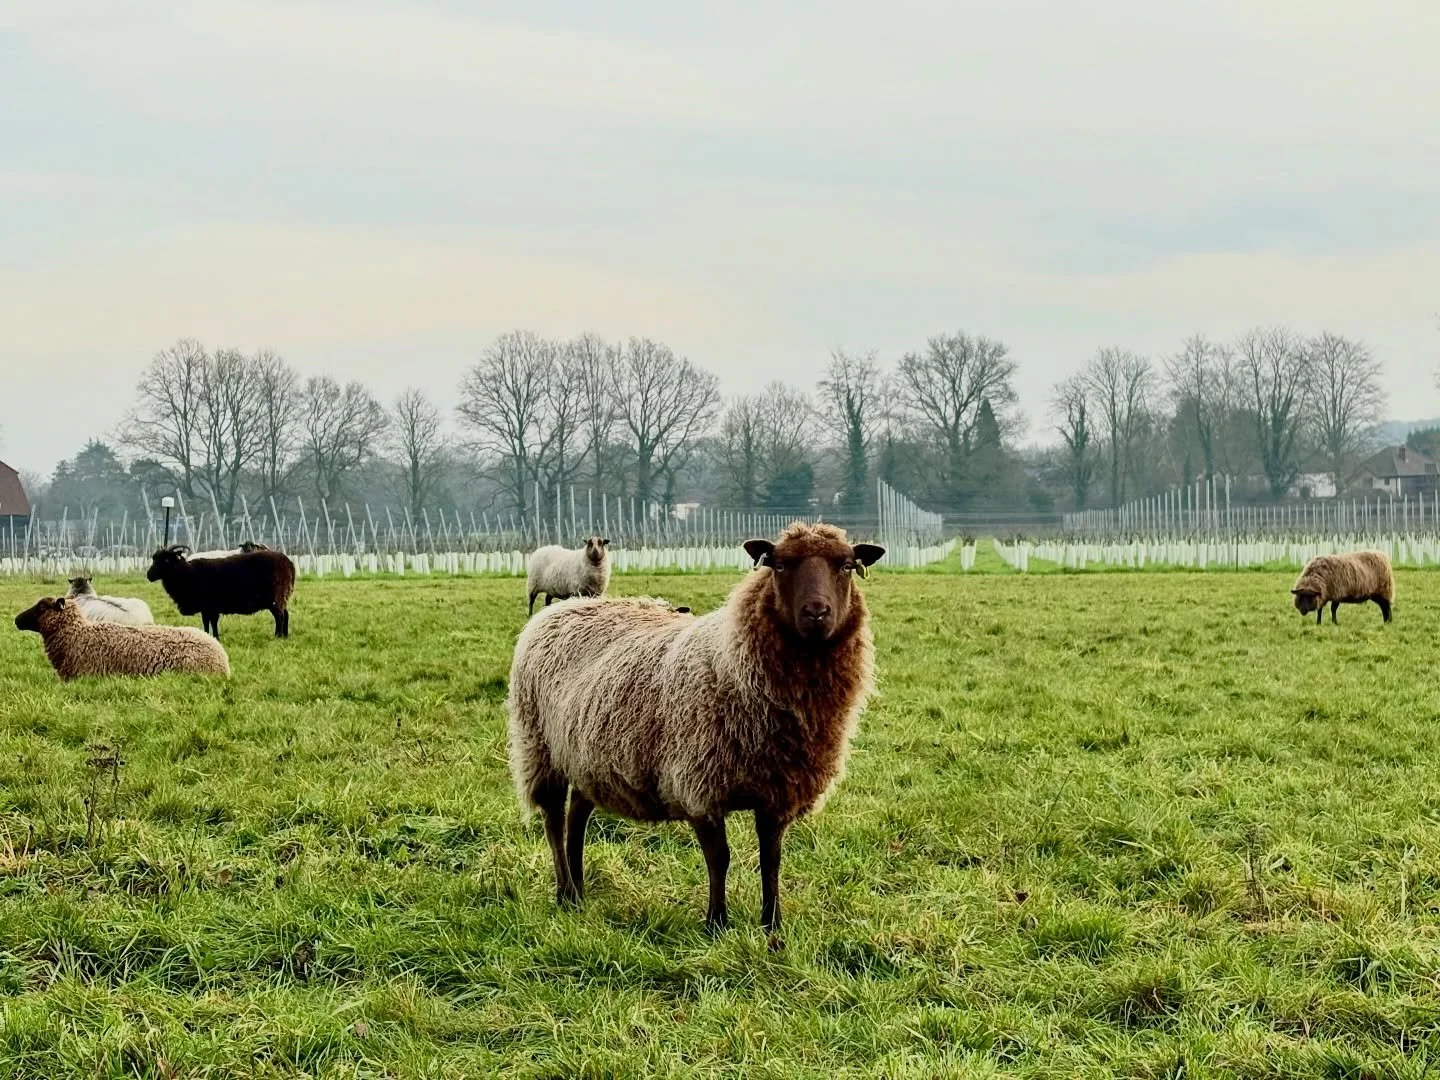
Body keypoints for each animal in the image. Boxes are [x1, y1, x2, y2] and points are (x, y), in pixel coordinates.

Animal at [146, 544, 296, 640]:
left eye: (166, 560)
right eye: (154, 558)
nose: (148, 575)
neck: (186, 574)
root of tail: (289, 563)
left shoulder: (210, 606)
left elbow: (211, 622)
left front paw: (215, 637)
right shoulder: (206, 608)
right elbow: (207, 622)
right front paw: (208, 636)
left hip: (276, 596)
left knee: (279, 616)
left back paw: (277, 636)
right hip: (281, 596)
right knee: (286, 614)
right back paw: (284, 636)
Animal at [507, 521, 885, 932]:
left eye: (847, 566)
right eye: (780, 565)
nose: (817, 613)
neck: (732, 661)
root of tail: (567, 607)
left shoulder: (778, 791)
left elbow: (771, 859)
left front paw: (772, 924)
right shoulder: (698, 784)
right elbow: (720, 858)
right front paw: (716, 923)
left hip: (588, 757)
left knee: (577, 815)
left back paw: (578, 892)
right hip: (539, 747)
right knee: (554, 821)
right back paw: (564, 890)